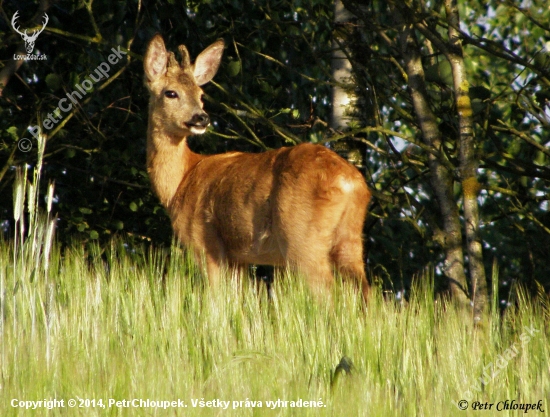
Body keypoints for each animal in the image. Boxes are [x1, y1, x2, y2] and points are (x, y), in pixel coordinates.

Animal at [144, 34, 374, 298]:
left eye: (201, 94)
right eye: (171, 93)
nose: (201, 118)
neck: (182, 179)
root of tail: (350, 183)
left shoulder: (203, 240)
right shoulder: (238, 257)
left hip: (302, 237)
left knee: (325, 291)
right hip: (350, 239)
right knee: (365, 290)